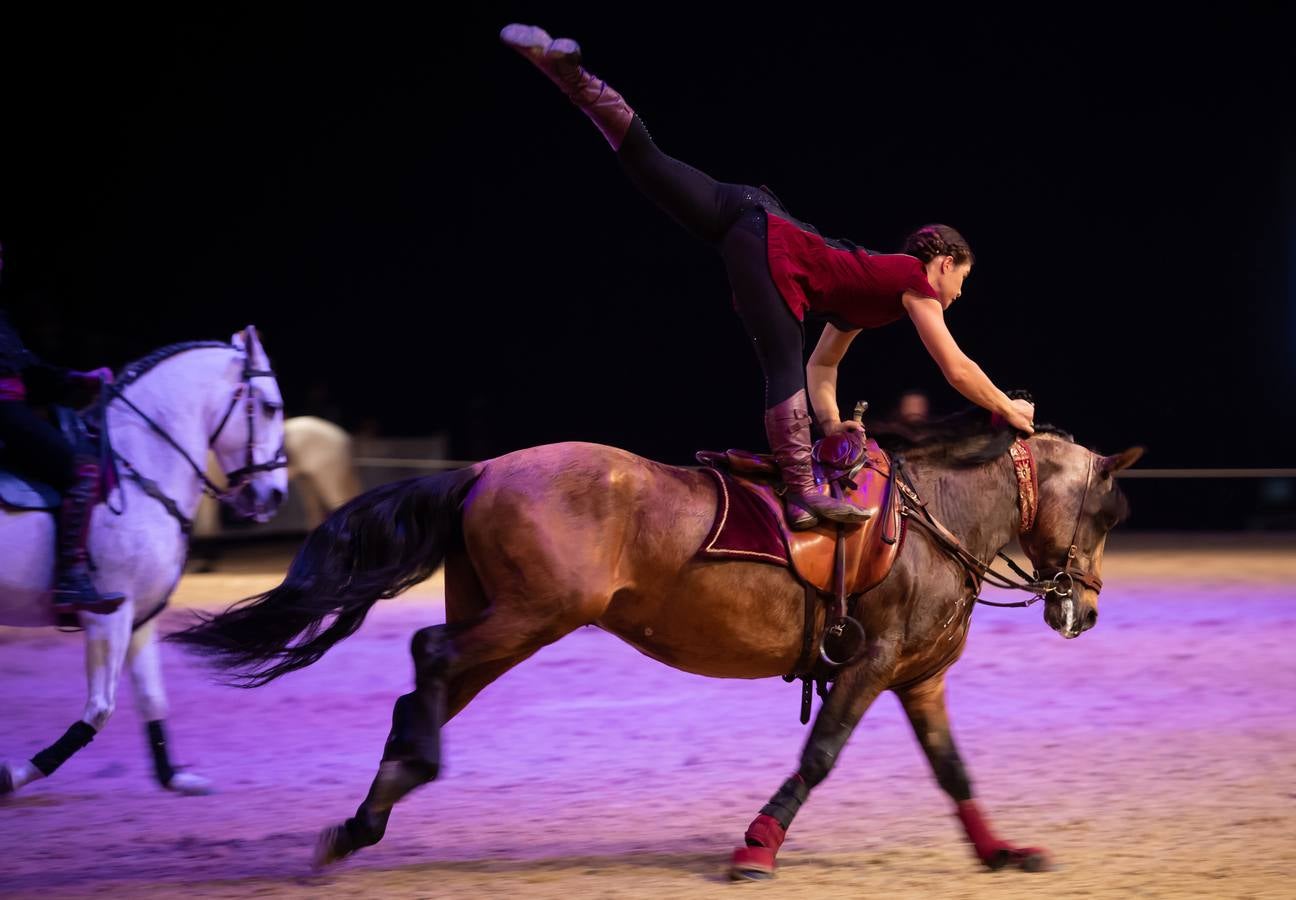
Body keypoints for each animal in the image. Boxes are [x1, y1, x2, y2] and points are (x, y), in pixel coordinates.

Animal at [0, 328, 289, 798]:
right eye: (269, 407)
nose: (275, 496)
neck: (143, 471)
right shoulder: (108, 615)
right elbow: (100, 708)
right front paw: (18, 773)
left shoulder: (140, 617)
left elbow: (152, 698)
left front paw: (175, 777)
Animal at [174, 417, 1145, 881]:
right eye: (1106, 514)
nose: (1084, 612)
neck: (934, 519)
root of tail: (484, 469)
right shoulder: (868, 667)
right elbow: (820, 754)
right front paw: (756, 847)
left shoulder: (917, 680)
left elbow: (952, 770)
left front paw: (999, 852)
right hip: (530, 614)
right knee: (429, 656)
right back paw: (406, 780)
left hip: (512, 619)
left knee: (428, 682)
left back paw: (367, 816)